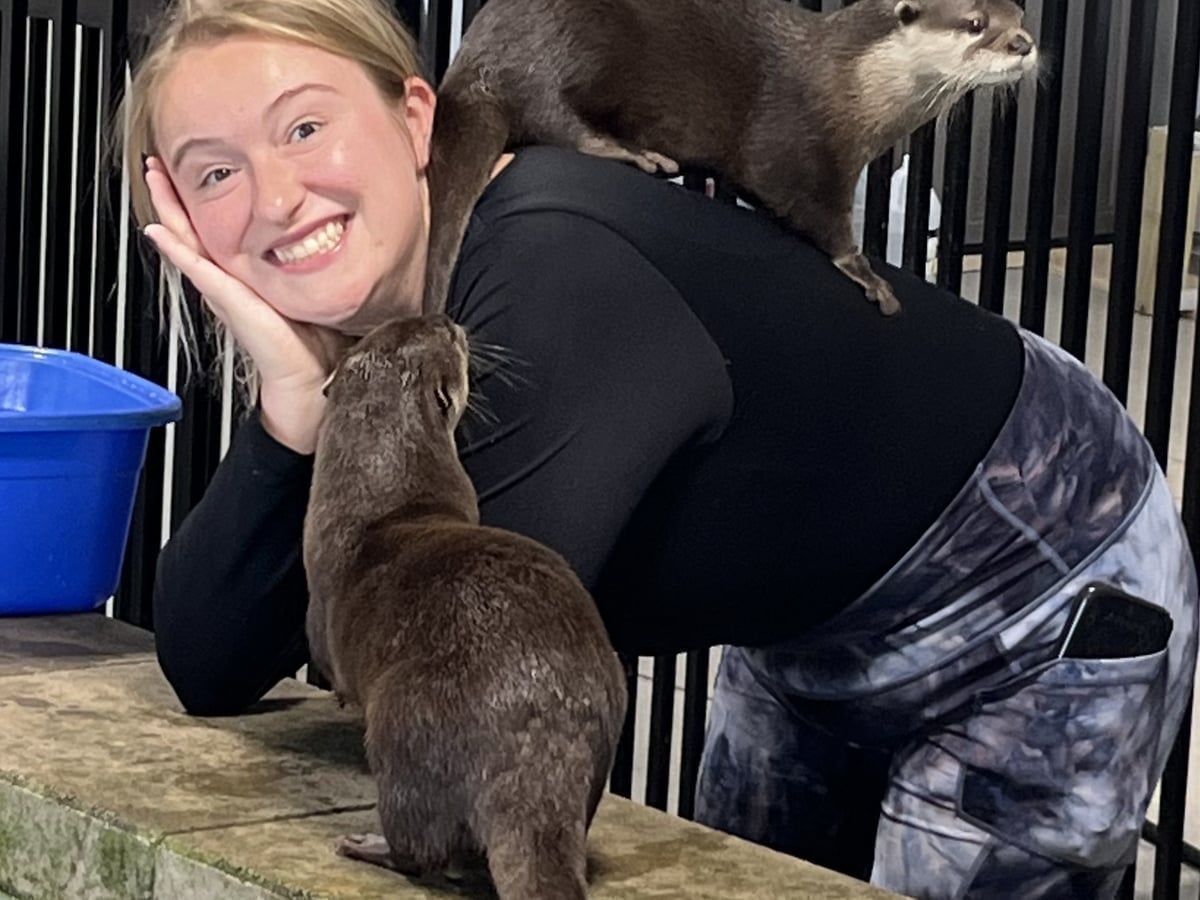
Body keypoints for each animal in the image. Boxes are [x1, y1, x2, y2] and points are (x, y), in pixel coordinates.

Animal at [303, 315, 628, 899]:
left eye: (449, 337)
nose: (451, 321)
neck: (387, 499)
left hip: (401, 724)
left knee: (422, 846)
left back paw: (367, 844)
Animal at [421, 0, 1038, 317]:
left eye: (1020, 14)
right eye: (976, 22)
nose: (1025, 44)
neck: (851, 88)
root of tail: (473, 60)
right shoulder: (795, 145)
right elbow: (810, 208)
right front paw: (866, 273)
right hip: (564, 46)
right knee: (548, 112)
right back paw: (630, 151)